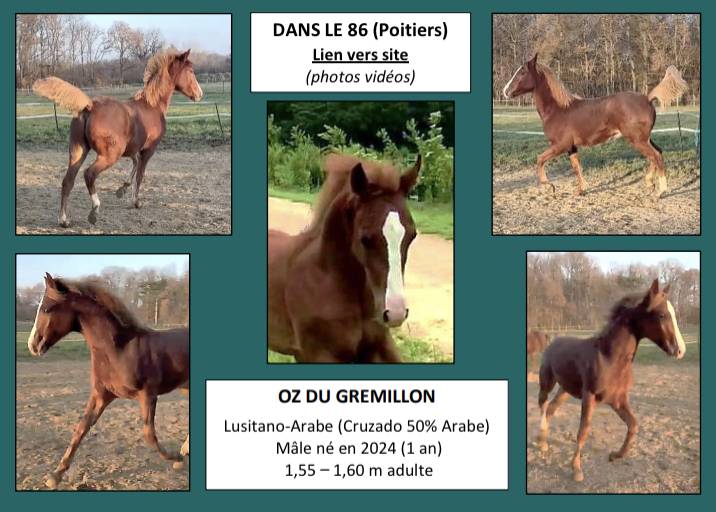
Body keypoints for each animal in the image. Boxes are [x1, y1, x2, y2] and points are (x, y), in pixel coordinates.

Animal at [26, 273, 190, 489]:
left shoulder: (148, 394)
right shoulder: (101, 394)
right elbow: (81, 428)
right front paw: (55, 475)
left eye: (46, 309)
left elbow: (149, 435)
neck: (119, 350)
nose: (32, 345)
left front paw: (176, 459)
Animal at [32, 49, 203, 227]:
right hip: (109, 155)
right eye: (191, 71)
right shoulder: (149, 149)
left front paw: (122, 189)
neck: (152, 106)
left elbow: (135, 165)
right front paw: (136, 202)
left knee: (67, 181)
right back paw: (94, 211)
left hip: (78, 151)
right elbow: (140, 174)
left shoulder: (133, 149)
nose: (199, 94)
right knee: (89, 174)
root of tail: (90, 106)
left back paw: (64, 220)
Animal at [502, 54, 687, 197]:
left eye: (522, 72)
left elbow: (540, 159)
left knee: (655, 156)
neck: (558, 109)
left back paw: (660, 191)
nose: (505, 91)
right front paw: (581, 191)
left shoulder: (559, 146)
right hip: (644, 139)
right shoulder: (571, 147)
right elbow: (577, 167)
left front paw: (551, 187)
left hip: (637, 140)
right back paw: (649, 183)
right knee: (657, 153)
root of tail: (647, 98)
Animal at [536, 279, 686, 482]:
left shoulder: (617, 400)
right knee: (543, 405)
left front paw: (615, 455)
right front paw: (576, 469)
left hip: (565, 389)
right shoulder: (589, 396)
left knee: (551, 408)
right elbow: (583, 431)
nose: (680, 350)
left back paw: (544, 442)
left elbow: (633, 425)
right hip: (547, 382)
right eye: (662, 315)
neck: (609, 358)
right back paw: (540, 440)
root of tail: (552, 340)